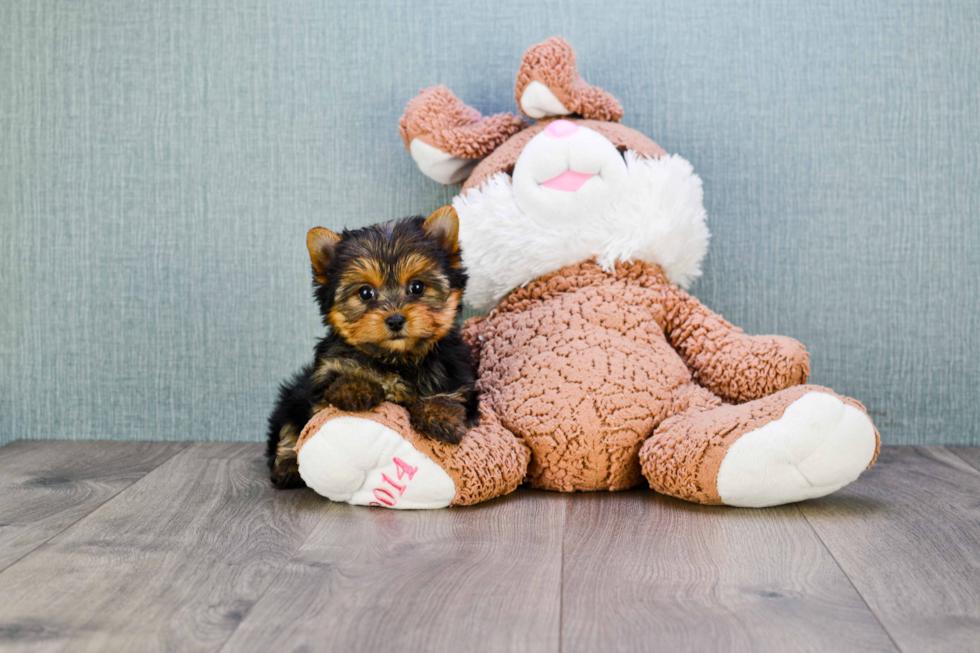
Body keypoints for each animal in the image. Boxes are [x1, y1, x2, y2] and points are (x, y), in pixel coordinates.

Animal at [264, 206, 478, 486]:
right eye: (365, 293)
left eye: (417, 287)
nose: (395, 319)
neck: (395, 359)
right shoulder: (321, 383)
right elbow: (334, 388)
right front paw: (355, 388)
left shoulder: (456, 373)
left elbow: (449, 394)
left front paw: (439, 415)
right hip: (291, 399)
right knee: (288, 432)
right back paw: (289, 467)